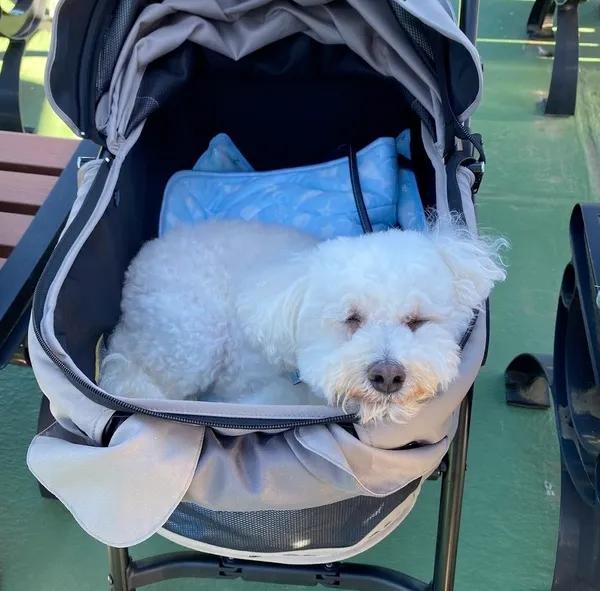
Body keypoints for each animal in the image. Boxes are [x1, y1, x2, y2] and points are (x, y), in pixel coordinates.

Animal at [99, 220, 506, 424]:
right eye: (351, 319)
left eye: (417, 321)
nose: (388, 375)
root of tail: (148, 251)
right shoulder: (267, 402)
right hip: (191, 337)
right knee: (128, 371)